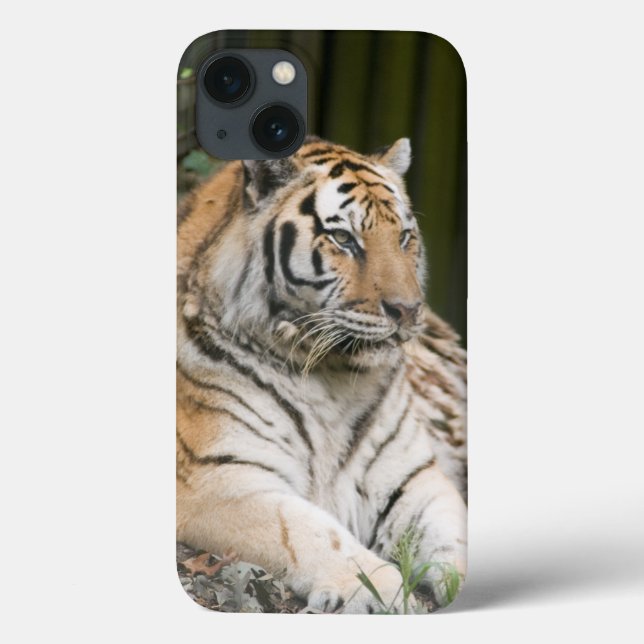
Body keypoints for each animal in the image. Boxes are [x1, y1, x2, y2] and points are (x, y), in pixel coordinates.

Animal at [177, 136, 467, 613]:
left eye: (404, 237)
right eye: (344, 239)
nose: (408, 310)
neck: (334, 376)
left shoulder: (414, 479)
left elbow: (455, 536)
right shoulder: (221, 478)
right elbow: (307, 531)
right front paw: (383, 590)